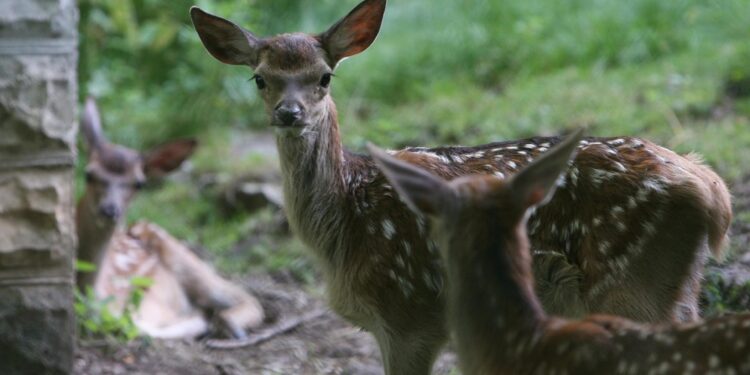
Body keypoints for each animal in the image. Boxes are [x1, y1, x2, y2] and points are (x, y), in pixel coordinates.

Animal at [76, 98, 264, 340]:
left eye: (139, 183)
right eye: (88, 174)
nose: (109, 210)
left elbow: (139, 326)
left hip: (185, 258)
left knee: (242, 294)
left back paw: (228, 324)